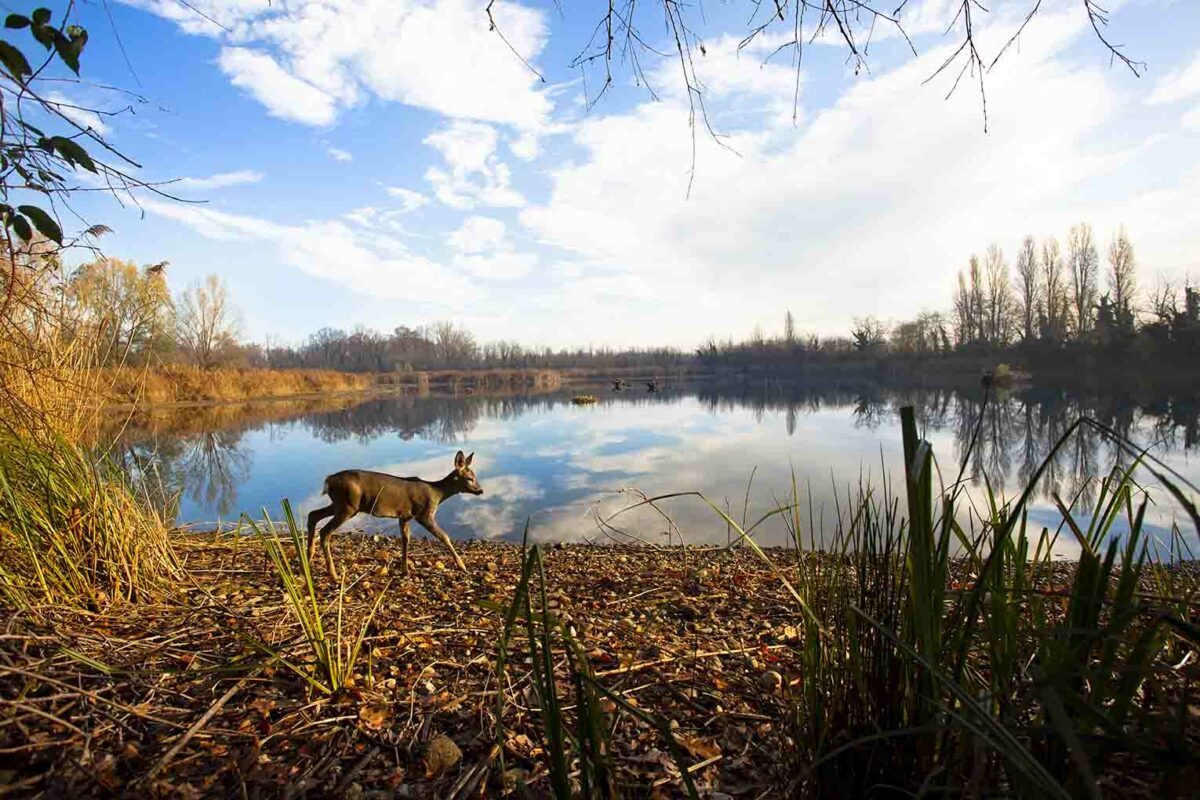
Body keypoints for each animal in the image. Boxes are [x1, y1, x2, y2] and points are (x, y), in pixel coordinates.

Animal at [307, 453, 484, 578]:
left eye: (475, 476)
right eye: (470, 478)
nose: (480, 490)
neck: (437, 494)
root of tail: (328, 480)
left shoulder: (404, 516)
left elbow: (405, 540)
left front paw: (405, 571)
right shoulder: (424, 514)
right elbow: (445, 536)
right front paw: (463, 566)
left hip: (339, 504)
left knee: (312, 515)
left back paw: (309, 558)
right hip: (347, 506)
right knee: (325, 531)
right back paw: (333, 574)